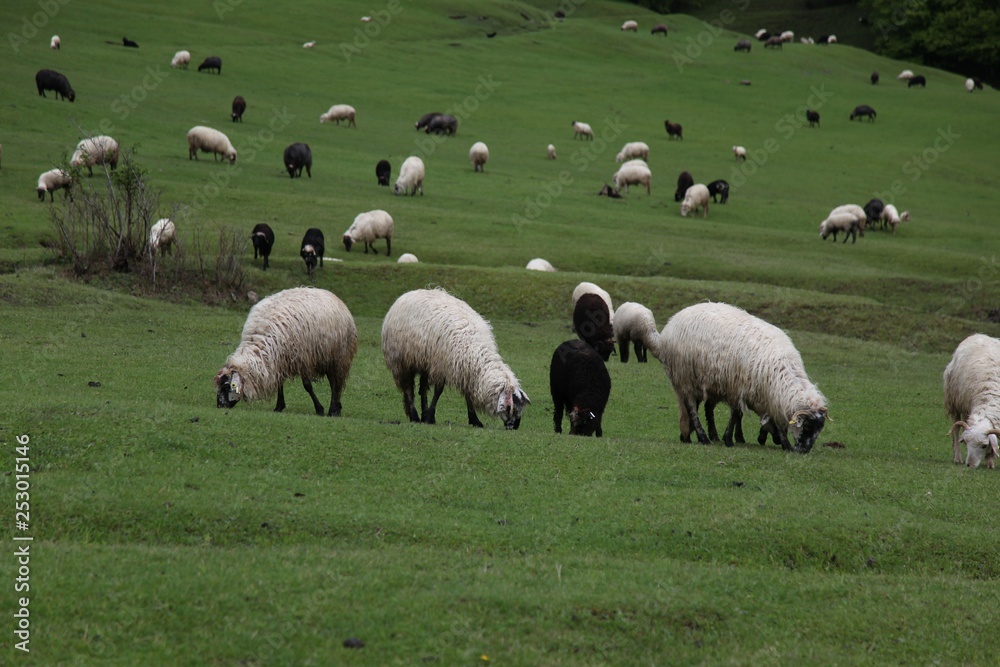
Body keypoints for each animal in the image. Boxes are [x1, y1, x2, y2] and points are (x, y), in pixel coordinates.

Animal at [215, 287, 357, 417]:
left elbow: (307, 386)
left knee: (336, 383)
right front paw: (279, 406)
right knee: (335, 382)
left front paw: (319, 409)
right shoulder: (279, 360)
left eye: (227, 386)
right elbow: (279, 383)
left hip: (339, 356)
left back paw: (333, 409)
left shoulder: (302, 358)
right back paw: (337, 408)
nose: (219, 406)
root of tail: (331, 294)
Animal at [381, 288, 530, 429]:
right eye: (511, 408)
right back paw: (415, 416)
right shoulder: (442, 366)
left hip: (425, 362)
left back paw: (423, 413)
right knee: (408, 388)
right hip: (402, 361)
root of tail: (409, 293)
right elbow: (438, 391)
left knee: (422, 387)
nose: (515, 427)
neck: (475, 351)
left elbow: (468, 393)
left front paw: (474, 420)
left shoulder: (465, 370)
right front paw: (430, 417)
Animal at [658, 301, 828, 452]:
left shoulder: (764, 394)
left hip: (707, 382)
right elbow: (735, 413)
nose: (804, 450)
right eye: (807, 426)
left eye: (819, 429)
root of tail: (675, 318)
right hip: (685, 377)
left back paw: (698, 436)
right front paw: (729, 439)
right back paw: (703, 437)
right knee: (692, 407)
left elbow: (745, 414)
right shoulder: (738, 387)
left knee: (702, 407)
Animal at [944, 334, 1000, 468]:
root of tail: (978, 335)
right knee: (956, 429)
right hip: (956, 402)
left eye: (984, 445)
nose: (970, 465)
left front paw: (990, 461)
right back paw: (957, 457)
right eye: (966, 442)